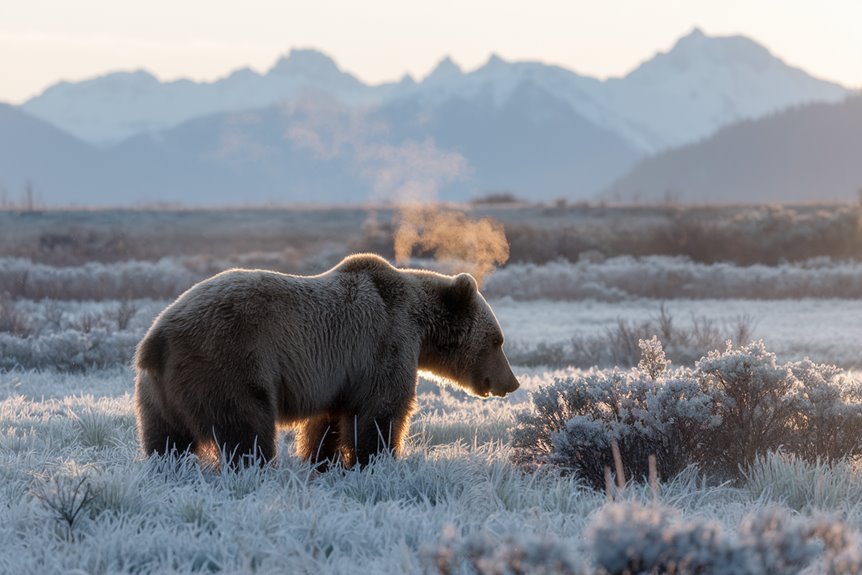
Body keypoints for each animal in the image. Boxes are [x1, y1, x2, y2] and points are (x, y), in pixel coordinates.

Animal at [133, 254, 520, 470]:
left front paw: (324, 461)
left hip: (158, 392)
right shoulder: (385, 342)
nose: (512, 382)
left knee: (166, 440)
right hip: (229, 361)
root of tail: (155, 339)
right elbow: (381, 412)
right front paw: (377, 462)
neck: (420, 324)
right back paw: (257, 469)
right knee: (246, 428)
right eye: (497, 340)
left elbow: (328, 422)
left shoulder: (339, 375)